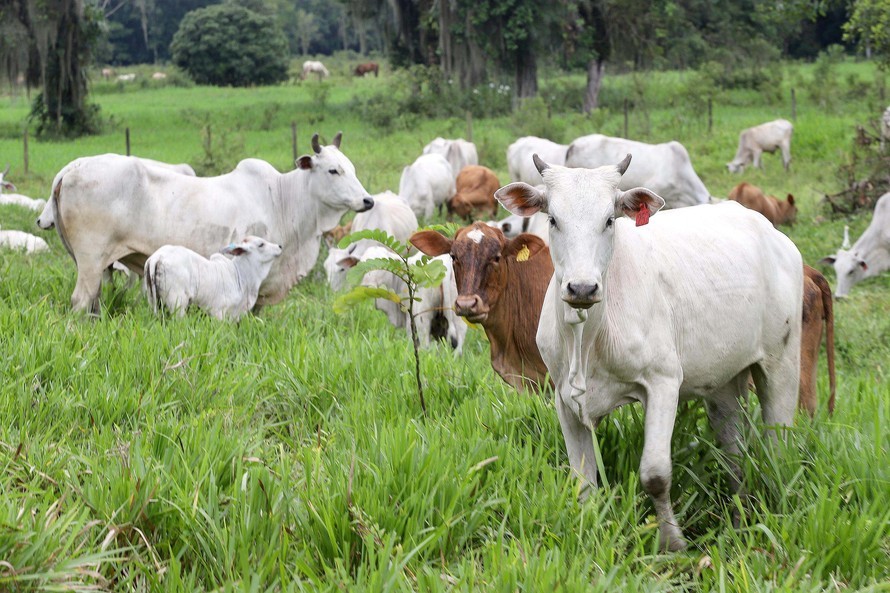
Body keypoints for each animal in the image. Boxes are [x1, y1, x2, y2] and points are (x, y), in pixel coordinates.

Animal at [144, 236, 282, 321]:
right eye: (261, 244)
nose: (280, 246)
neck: (240, 274)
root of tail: (157, 257)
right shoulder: (218, 311)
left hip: (153, 299)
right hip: (177, 301)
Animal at [495, 153, 803, 552]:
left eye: (609, 220)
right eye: (552, 219)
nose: (582, 287)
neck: (587, 338)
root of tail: (774, 235)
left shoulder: (663, 382)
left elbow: (655, 475)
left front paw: (673, 544)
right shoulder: (563, 397)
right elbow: (583, 480)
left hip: (782, 365)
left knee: (777, 446)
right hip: (723, 383)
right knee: (733, 453)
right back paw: (738, 518)